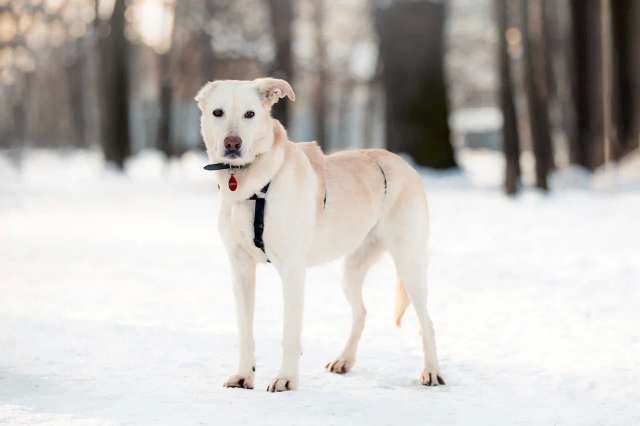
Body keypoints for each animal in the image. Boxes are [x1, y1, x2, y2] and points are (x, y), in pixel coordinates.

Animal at [195, 77, 444, 392]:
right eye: (218, 113)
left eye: (250, 114)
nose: (232, 144)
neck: (255, 184)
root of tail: (403, 164)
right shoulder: (240, 268)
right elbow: (245, 330)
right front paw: (243, 375)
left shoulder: (292, 270)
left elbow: (290, 333)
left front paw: (286, 379)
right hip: (351, 271)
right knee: (361, 313)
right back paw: (344, 360)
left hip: (410, 265)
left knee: (427, 323)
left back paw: (432, 371)